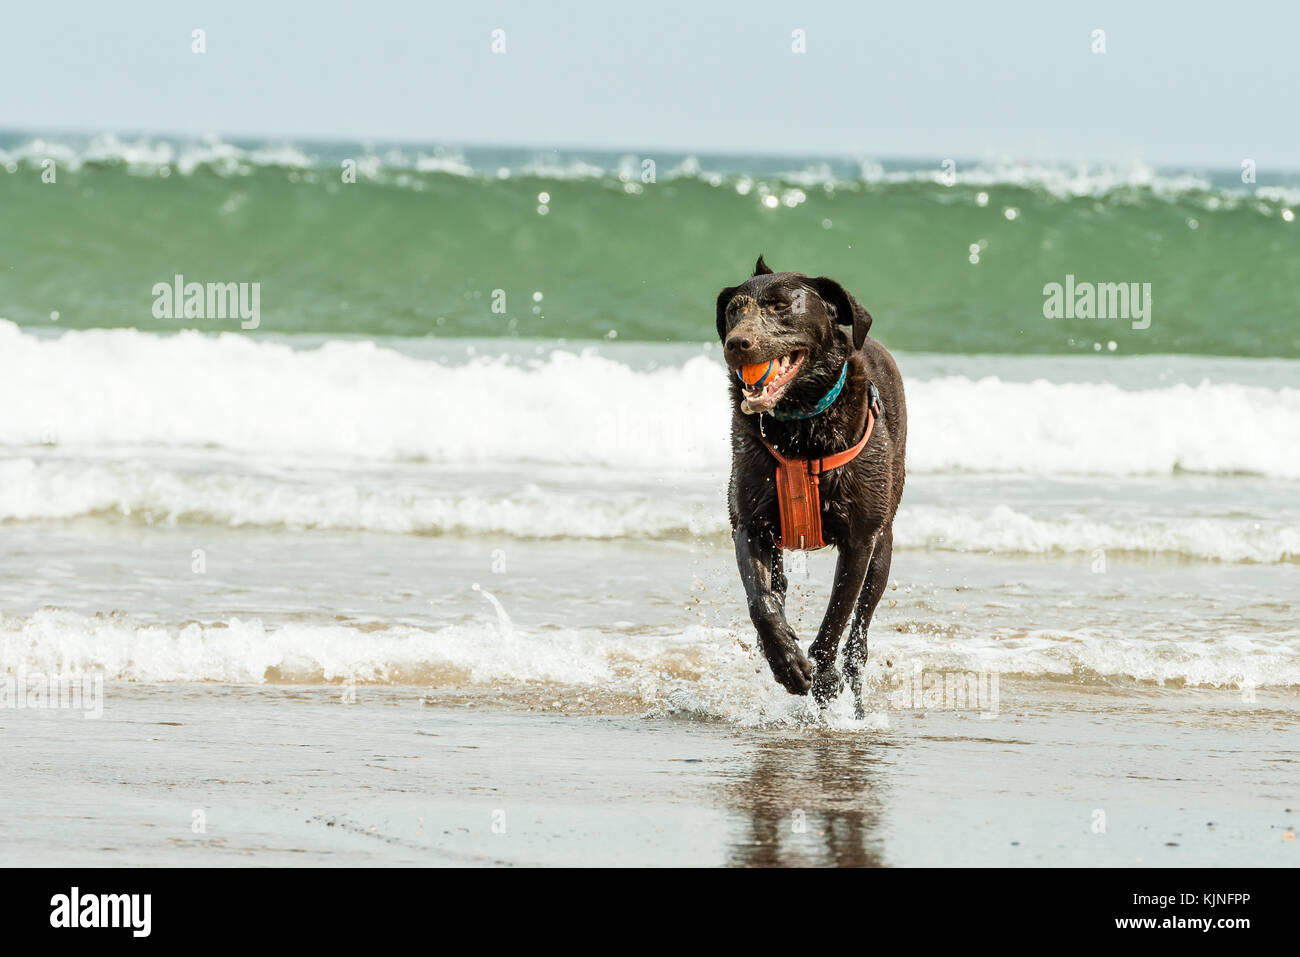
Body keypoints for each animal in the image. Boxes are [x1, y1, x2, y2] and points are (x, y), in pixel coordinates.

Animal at [717, 257, 909, 712]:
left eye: (780, 305)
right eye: (733, 310)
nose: (736, 343)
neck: (800, 426)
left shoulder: (860, 539)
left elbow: (836, 618)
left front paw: (823, 680)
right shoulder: (750, 524)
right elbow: (761, 602)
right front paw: (786, 662)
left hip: (884, 544)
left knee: (859, 632)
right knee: (778, 589)